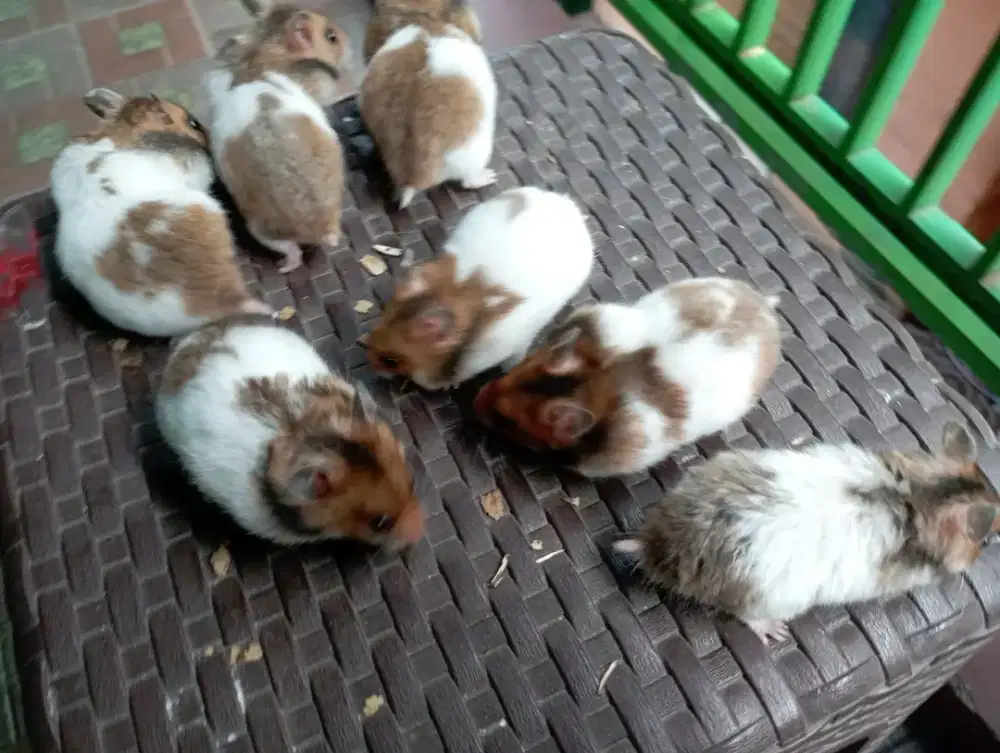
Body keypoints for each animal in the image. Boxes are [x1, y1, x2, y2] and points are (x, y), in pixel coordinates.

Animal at [204, 0, 349, 273]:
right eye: (332, 37)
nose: (348, 40)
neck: (268, 51)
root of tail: (322, 227)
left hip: (263, 231)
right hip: (264, 229)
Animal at [606, 421, 1000, 644]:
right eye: (986, 540)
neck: (922, 496)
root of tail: (658, 544)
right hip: (772, 599)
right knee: (747, 616)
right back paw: (776, 633)